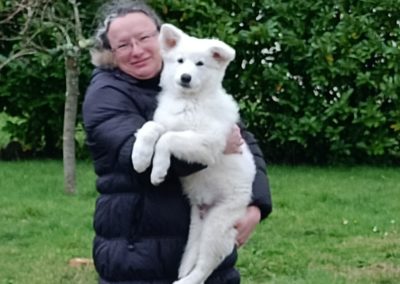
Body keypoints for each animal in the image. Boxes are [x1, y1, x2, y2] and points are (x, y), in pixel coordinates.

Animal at [132, 23, 256, 284]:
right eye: (180, 61)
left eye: (200, 64)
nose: (185, 78)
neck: (189, 101)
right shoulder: (166, 122)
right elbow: (151, 128)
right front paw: (140, 158)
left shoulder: (208, 143)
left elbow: (167, 139)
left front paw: (158, 171)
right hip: (196, 224)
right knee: (193, 254)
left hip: (218, 223)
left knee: (206, 265)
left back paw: (185, 281)